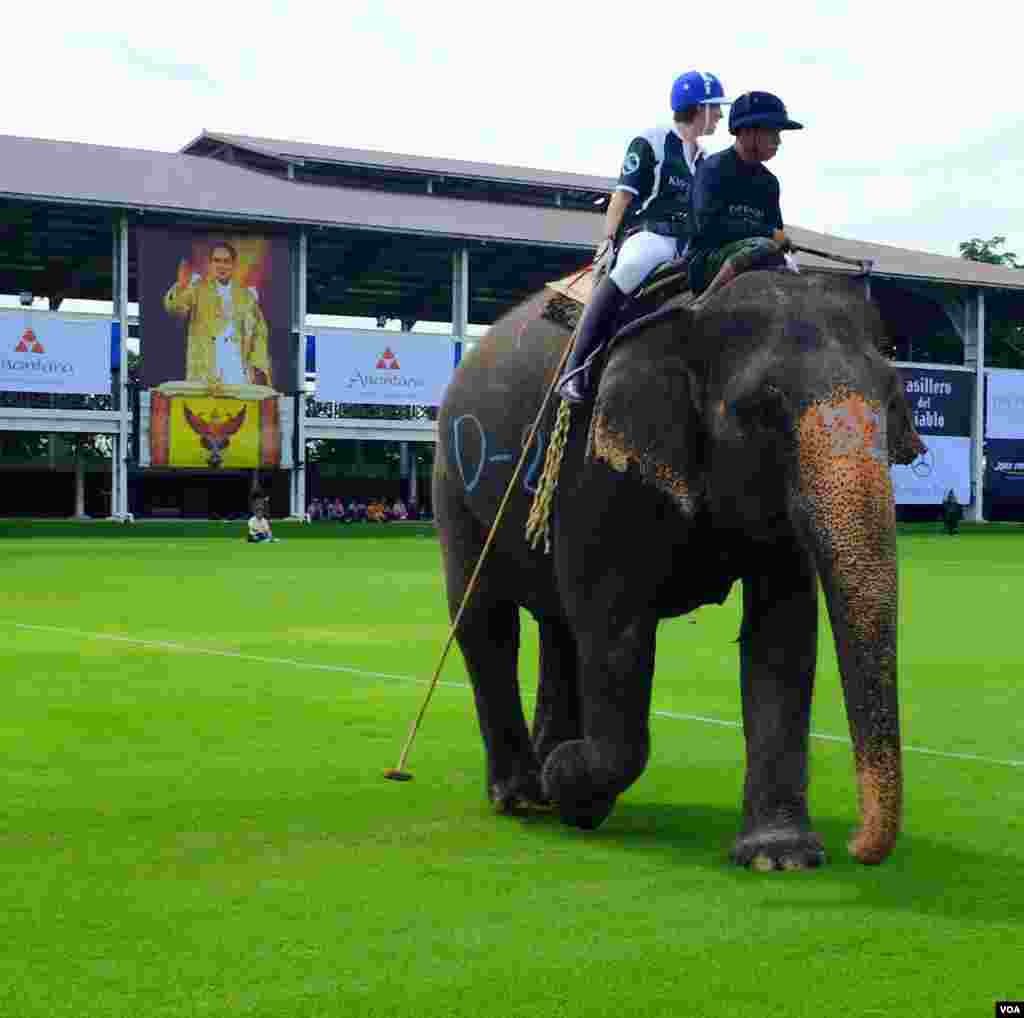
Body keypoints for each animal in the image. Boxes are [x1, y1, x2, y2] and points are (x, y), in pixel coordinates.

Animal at [428, 268, 925, 864]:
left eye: (894, 402)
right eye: (761, 409)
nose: (856, 845)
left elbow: (782, 633)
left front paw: (779, 856)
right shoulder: (597, 462)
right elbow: (616, 631)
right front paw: (571, 785)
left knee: (558, 625)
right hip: (453, 476)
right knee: (487, 620)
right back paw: (524, 796)